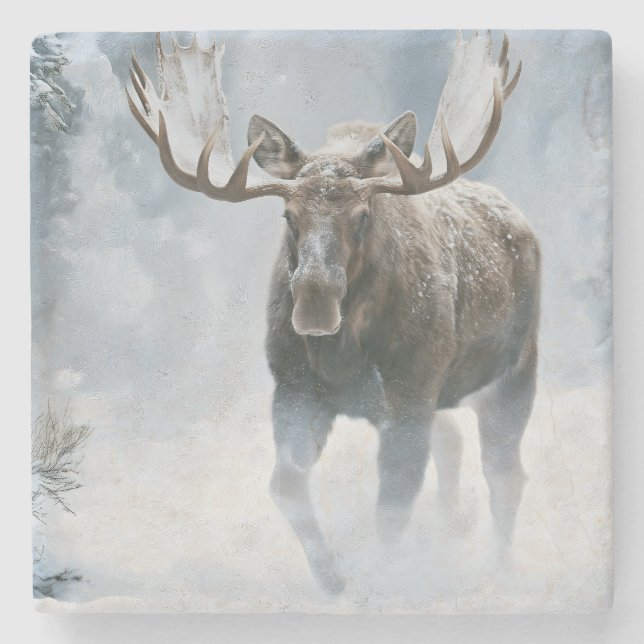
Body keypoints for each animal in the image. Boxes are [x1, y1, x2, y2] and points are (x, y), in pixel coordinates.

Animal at [127, 31, 540, 595]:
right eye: (288, 214)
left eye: (363, 214)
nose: (314, 304)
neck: (345, 357)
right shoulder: (294, 388)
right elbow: (286, 485)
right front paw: (333, 578)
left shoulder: (411, 391)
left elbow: (394, 503)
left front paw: (379, 581)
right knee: (454, 443)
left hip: (516, 369)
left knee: (505, 474)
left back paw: (497, 569)